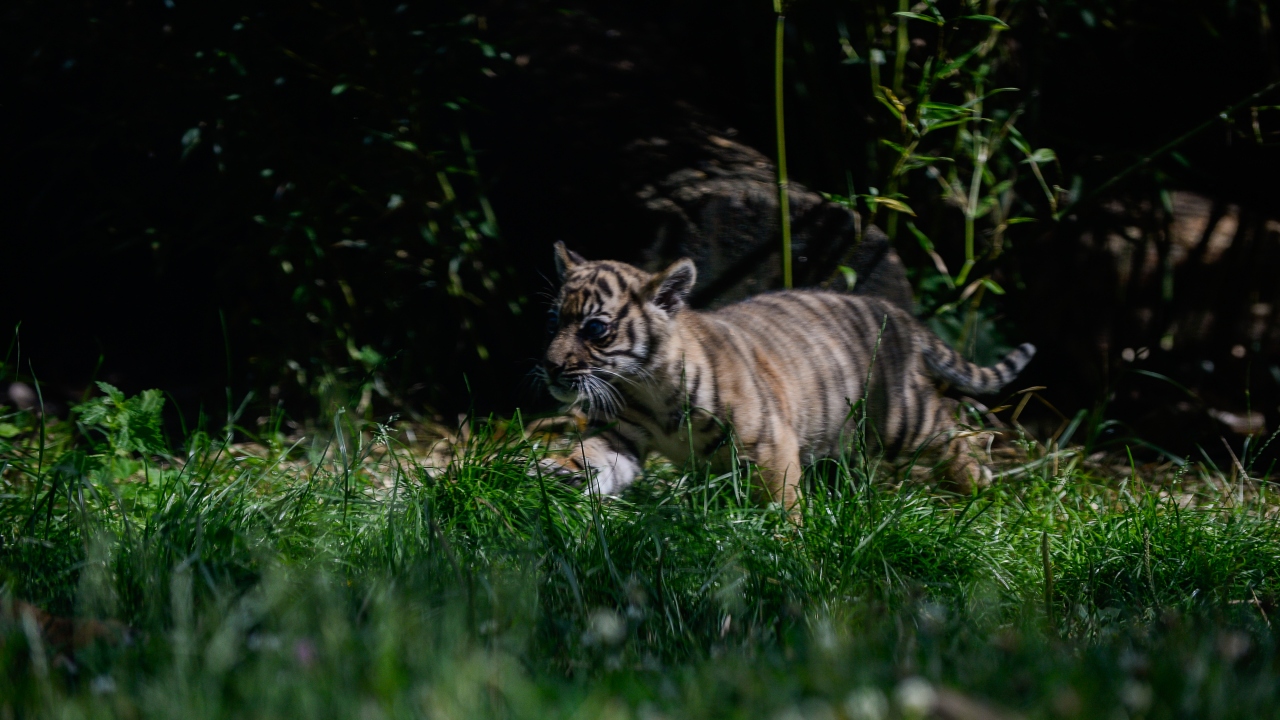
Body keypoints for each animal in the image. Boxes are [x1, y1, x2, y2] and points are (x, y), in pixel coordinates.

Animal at [538, 242, 1035, 515]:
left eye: (595, 328)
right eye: (556, 319)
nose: (550, 366)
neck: (646, 385)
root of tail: (894, 312)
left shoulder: (768, 442)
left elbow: (782, 498)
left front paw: (786, 542)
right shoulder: (624, 434)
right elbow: (594, 455)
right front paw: (556, 471)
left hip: (903, 419)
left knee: (959, 432)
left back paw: (979, 490)